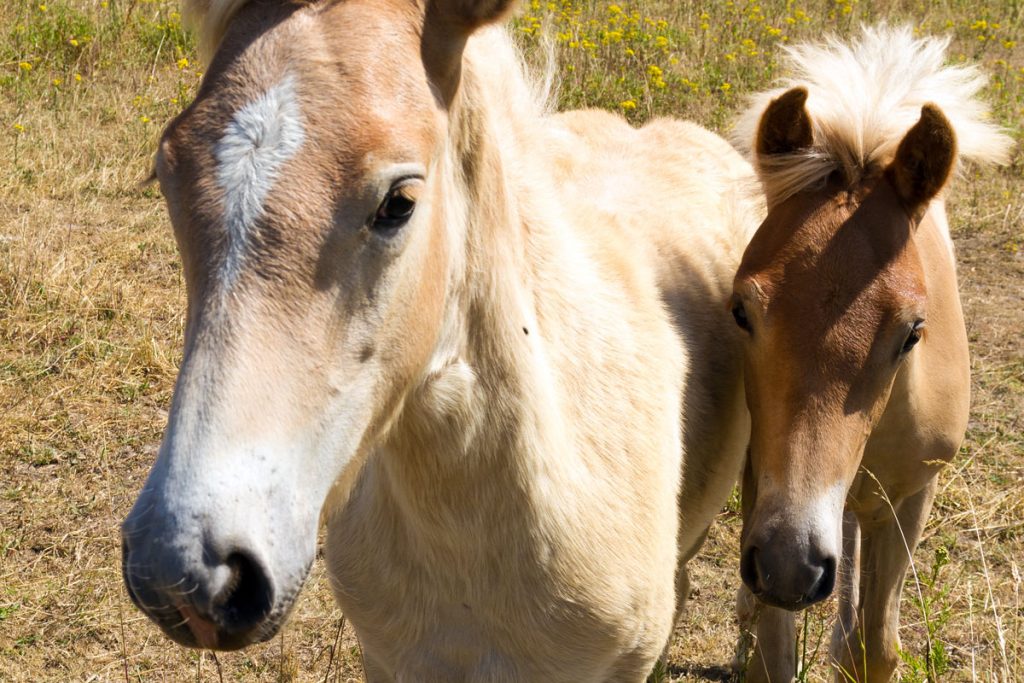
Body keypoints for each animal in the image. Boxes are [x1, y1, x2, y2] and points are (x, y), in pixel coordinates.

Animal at [733, 26, 1011, 683]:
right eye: (741, 311)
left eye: (913, 332)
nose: (793, 566)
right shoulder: (764, 480)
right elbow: (774, 657)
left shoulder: (910, 497)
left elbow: (875, 650)